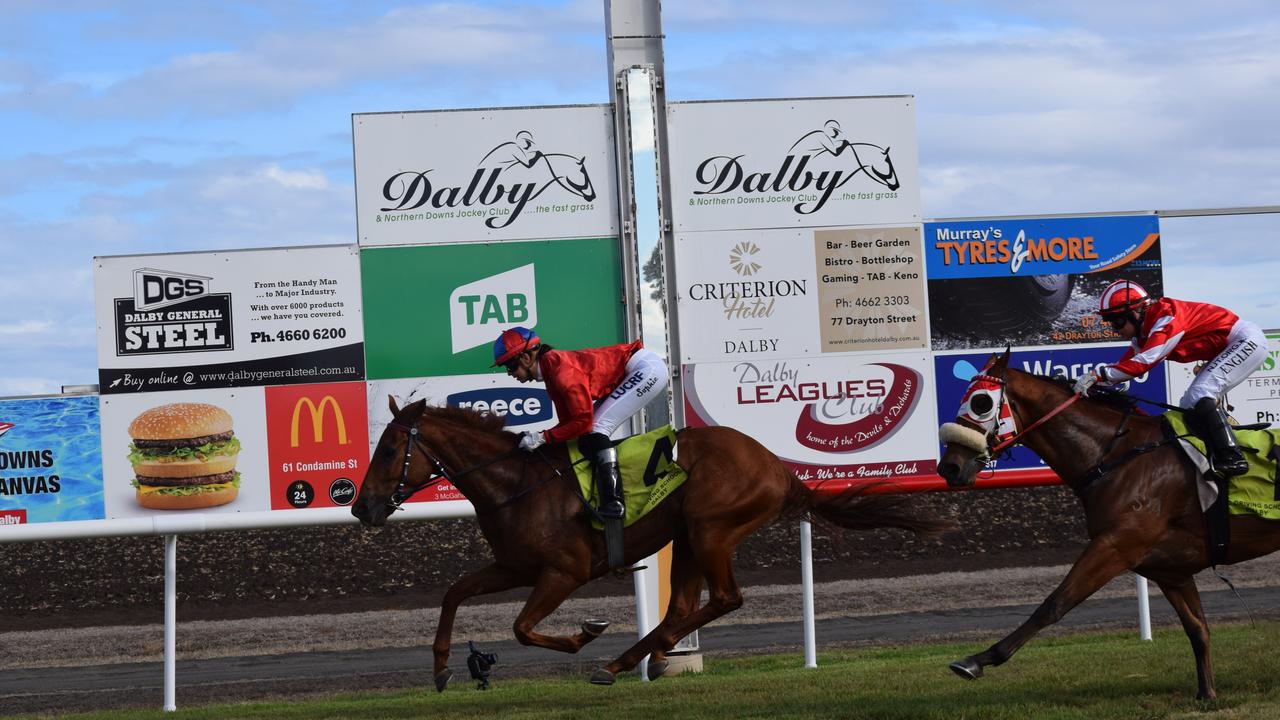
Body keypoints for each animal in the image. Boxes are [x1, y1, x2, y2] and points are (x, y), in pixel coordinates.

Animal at [355, 394, 947, 686]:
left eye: (389, 450)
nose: (361, 507)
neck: (516, 483)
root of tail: (778, 468)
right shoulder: (514, 567)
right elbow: (453, 592)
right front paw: (440, 668)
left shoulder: (564, 572)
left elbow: (522, 628)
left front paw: (584, 635)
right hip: (686, 536)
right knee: (683, 605)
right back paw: (639, 659)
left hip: (711, 529)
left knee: (724, 598)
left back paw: (621, 660)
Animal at [936, 351, 1280, 696]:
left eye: (981, 403)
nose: (949, 467)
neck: (1115, 455)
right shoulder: (1169, 569)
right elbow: (1197, 628)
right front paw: (1207, 693)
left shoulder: (1115, 546)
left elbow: (1054, 603)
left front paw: (977, 660)